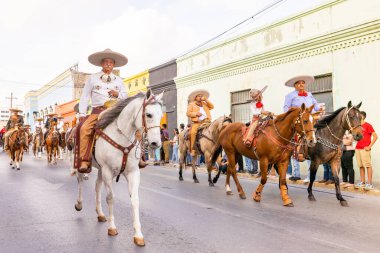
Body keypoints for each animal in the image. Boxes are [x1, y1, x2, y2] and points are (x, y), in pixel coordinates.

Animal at [73, 90, 163, 246]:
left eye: (161, 115)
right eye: (149, 114)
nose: (155, 143)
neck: (121, 137)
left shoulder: (133, 172)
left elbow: (135, 200)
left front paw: (138, 235)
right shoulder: (108, 171)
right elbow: (110, 198)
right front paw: (112, 228)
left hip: (100, 169)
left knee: (97, 186)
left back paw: (100, 214)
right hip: (83, 164)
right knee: (80, 181)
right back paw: (79, 203)